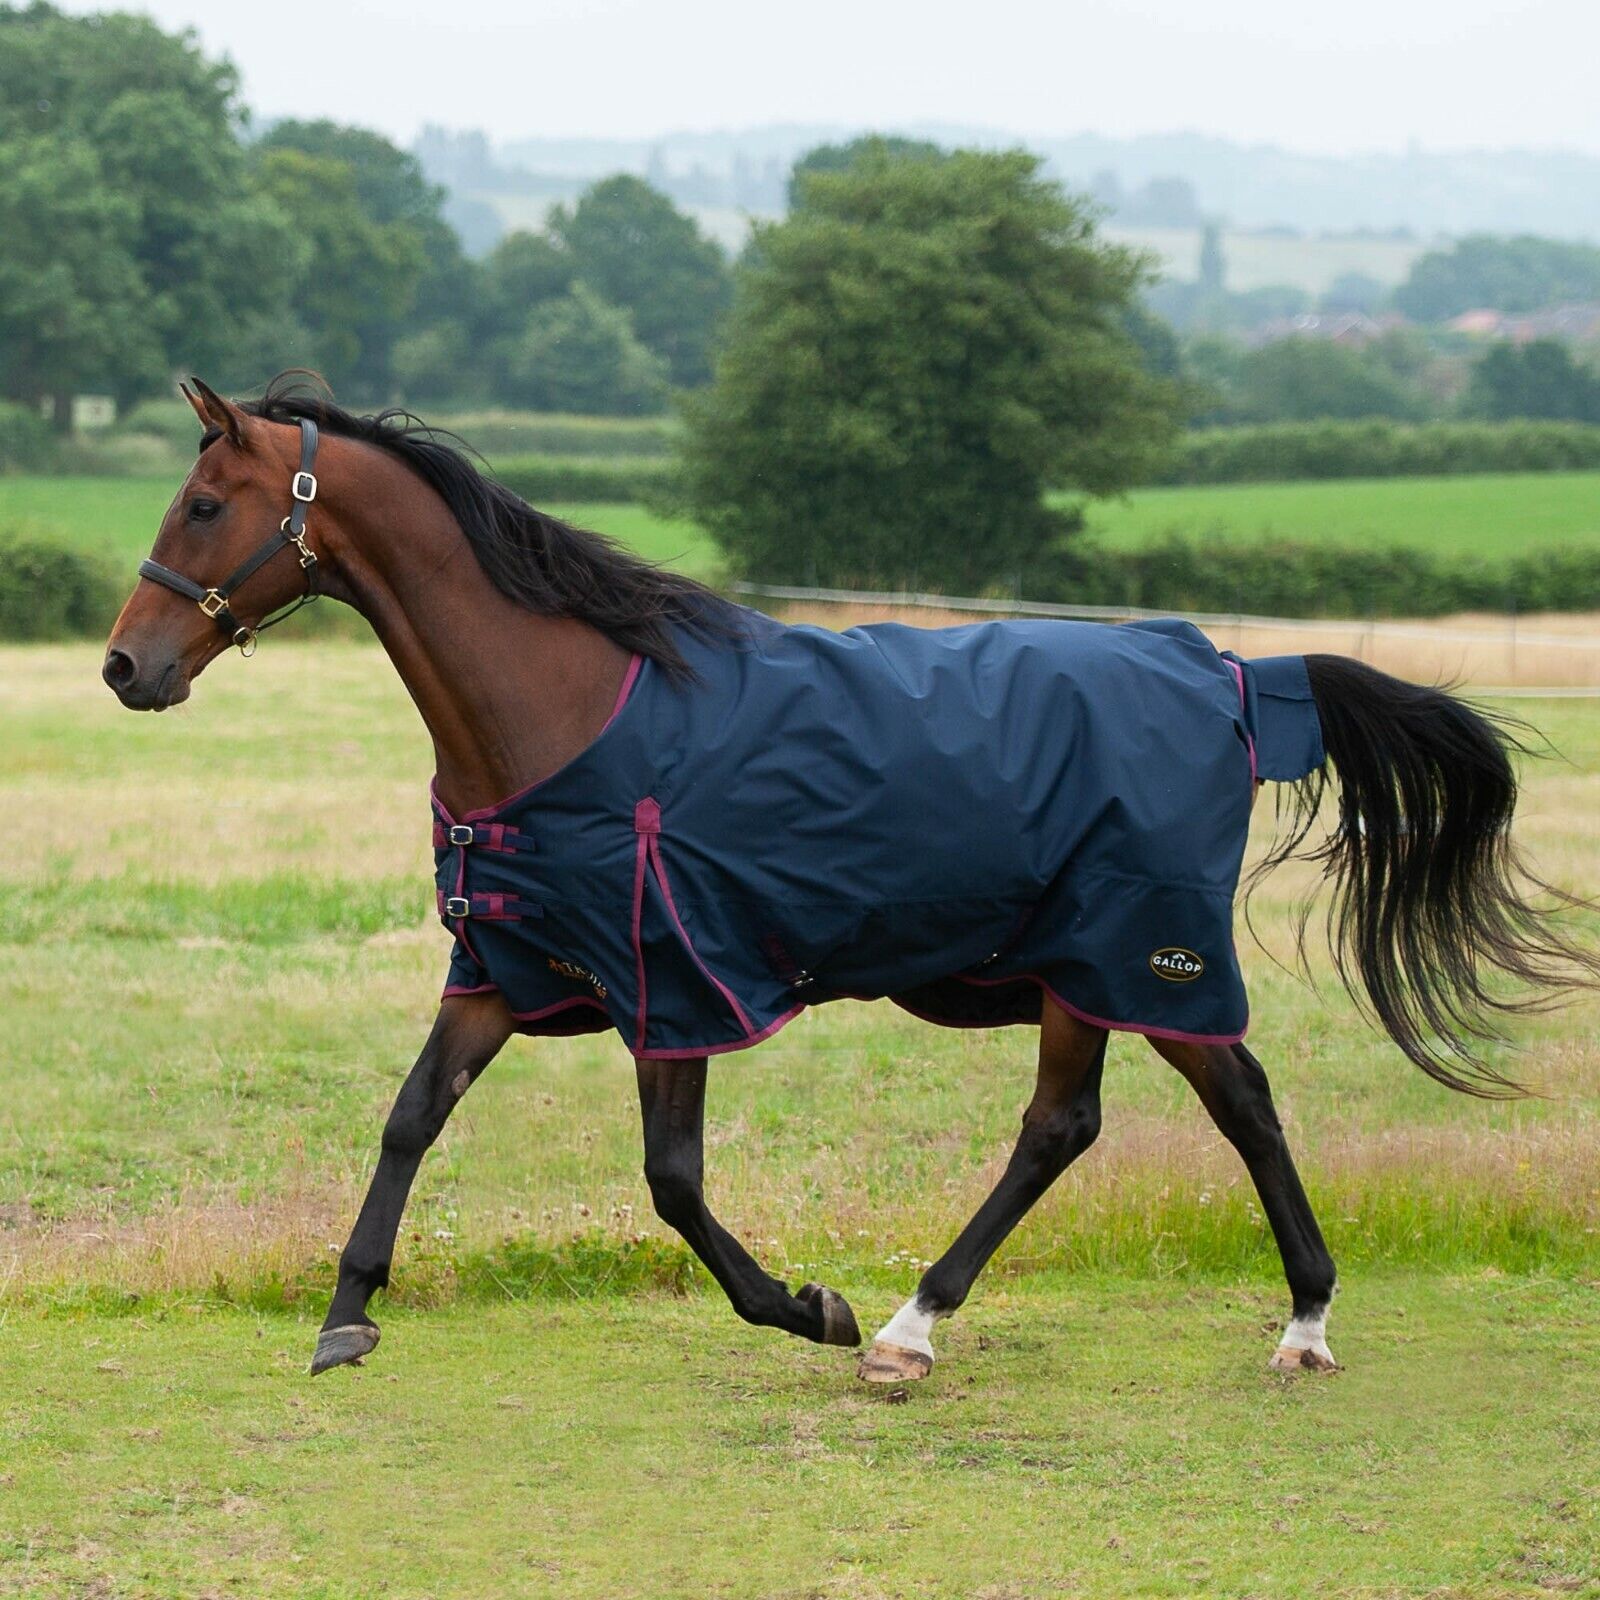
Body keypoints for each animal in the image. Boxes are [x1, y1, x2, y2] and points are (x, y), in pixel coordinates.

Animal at [103, 375, 1596, 1384]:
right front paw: (347, 1313)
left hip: (1125, 953)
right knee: (1131, 1117)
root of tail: (1229, 672)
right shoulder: (505, 967)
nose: (128, 666)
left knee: (1156, 1115)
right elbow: (412, 1116)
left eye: (206, 502)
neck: (563, 707)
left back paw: (965, 1324)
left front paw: (804, 1307)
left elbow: (671, 1181)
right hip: (1089, 967)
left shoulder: (674, 983)